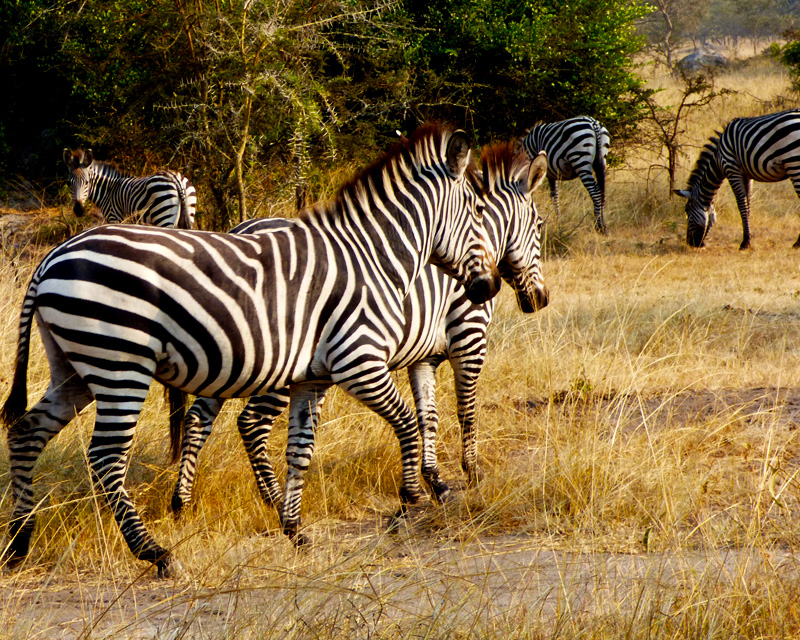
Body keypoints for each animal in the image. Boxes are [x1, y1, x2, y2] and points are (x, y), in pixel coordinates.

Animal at [62, 149, 197, 229]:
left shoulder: (114, 217)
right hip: (188, 212)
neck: (108, 190)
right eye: (69, 183)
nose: (78, 210)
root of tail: (175, 178)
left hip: (164, 216)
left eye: (87, 182)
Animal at [170, 144, 552, 516]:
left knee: (198, 417)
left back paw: (182, 502)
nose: (540, 300)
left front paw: (434, 481)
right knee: (251, 423)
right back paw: (274, 501)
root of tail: (240, 229)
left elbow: (427, 416)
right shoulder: (468, 336)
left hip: (227, 354)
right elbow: (466, 409)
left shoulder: (423, 356)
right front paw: (471, 474)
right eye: (538, 225)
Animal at [676, 110, 800, 250]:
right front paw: (749, 237)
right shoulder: (747, 176)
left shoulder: (732, 168)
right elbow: (748, 203)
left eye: (687, 211)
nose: (690, 243)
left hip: (793, 162)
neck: (717, 159)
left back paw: (797, 243)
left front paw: (745, 242)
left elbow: (741, 204)